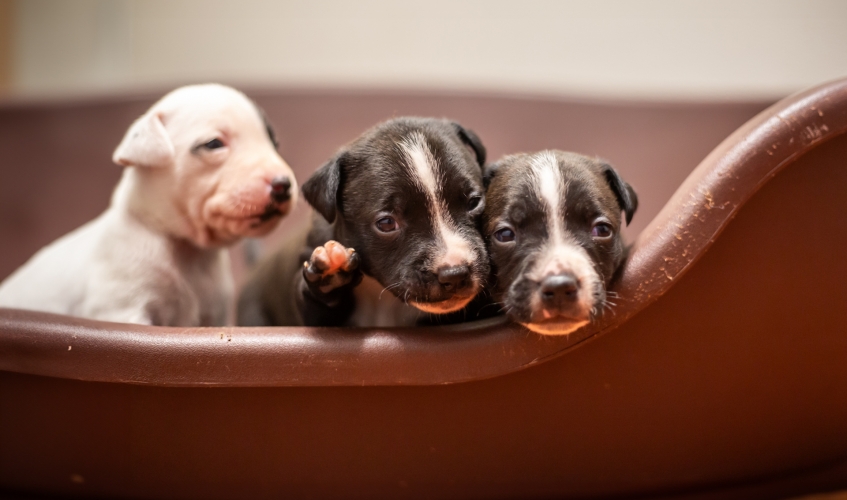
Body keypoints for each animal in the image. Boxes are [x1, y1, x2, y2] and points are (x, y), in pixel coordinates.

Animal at [0, 84, 298, 326]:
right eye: (214, 144)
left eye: (274, 143)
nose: (283, 185)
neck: (187, 252)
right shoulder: (124, 311)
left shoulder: (215, 316)